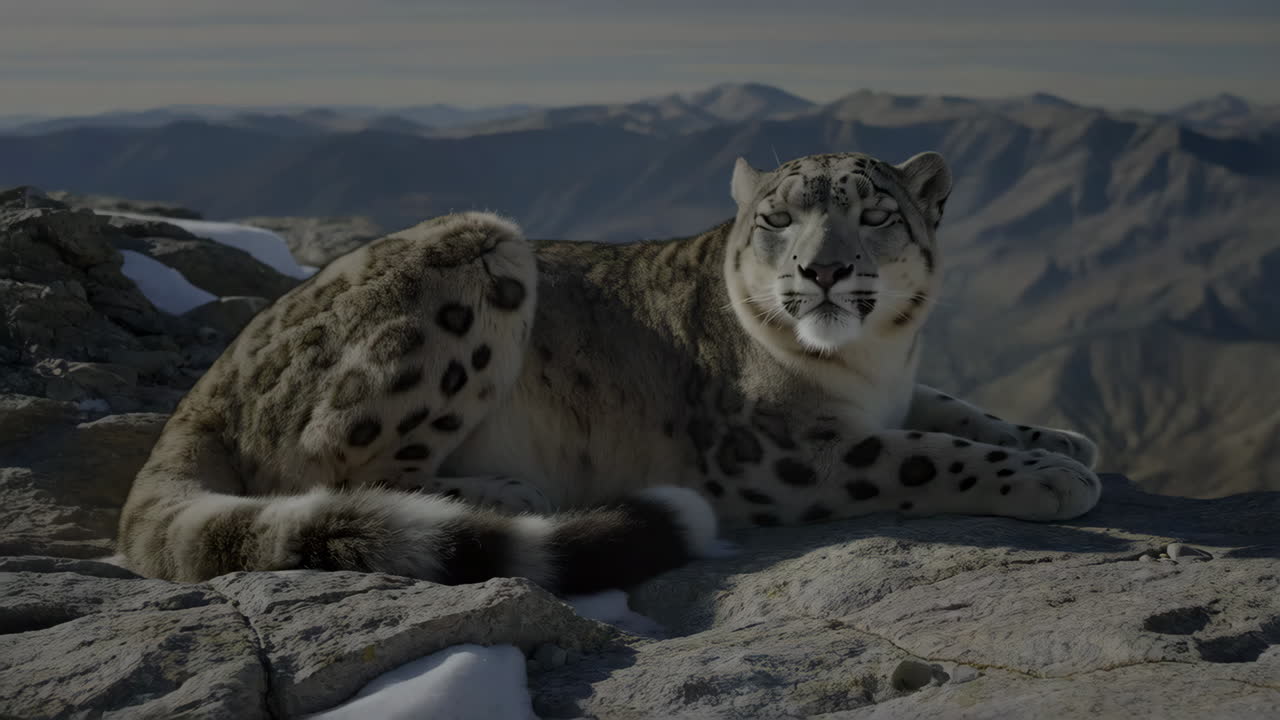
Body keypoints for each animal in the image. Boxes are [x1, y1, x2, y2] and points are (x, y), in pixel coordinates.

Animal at [115, 150, 1101, 595]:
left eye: (876, 214)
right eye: (778, 217)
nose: (821, 271)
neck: (868, 360)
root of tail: (205, 385)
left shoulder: (897, 391)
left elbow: (955, 408)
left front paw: (1062, 440)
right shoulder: (778, 453)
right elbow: (925, 451)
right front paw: (1052, 478)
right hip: (475, 260)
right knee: (327, 469)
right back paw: (504, 494)